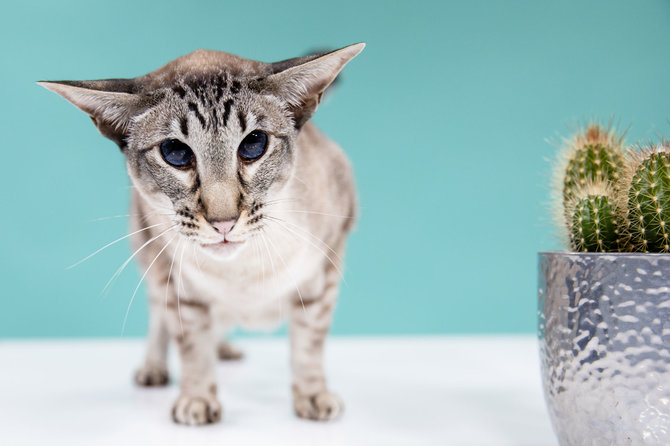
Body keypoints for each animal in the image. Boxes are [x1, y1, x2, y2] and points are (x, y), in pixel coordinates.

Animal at [39, 43, 364, 426]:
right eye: (175, 153)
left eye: (254, 144)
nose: (223, 222)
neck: (241, 274)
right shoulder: (176, 285)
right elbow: (192, 347)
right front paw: (197, 400)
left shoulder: (324, 272)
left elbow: (307, 345)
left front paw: (312, 396)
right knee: (159, 321)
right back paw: (155, 368)